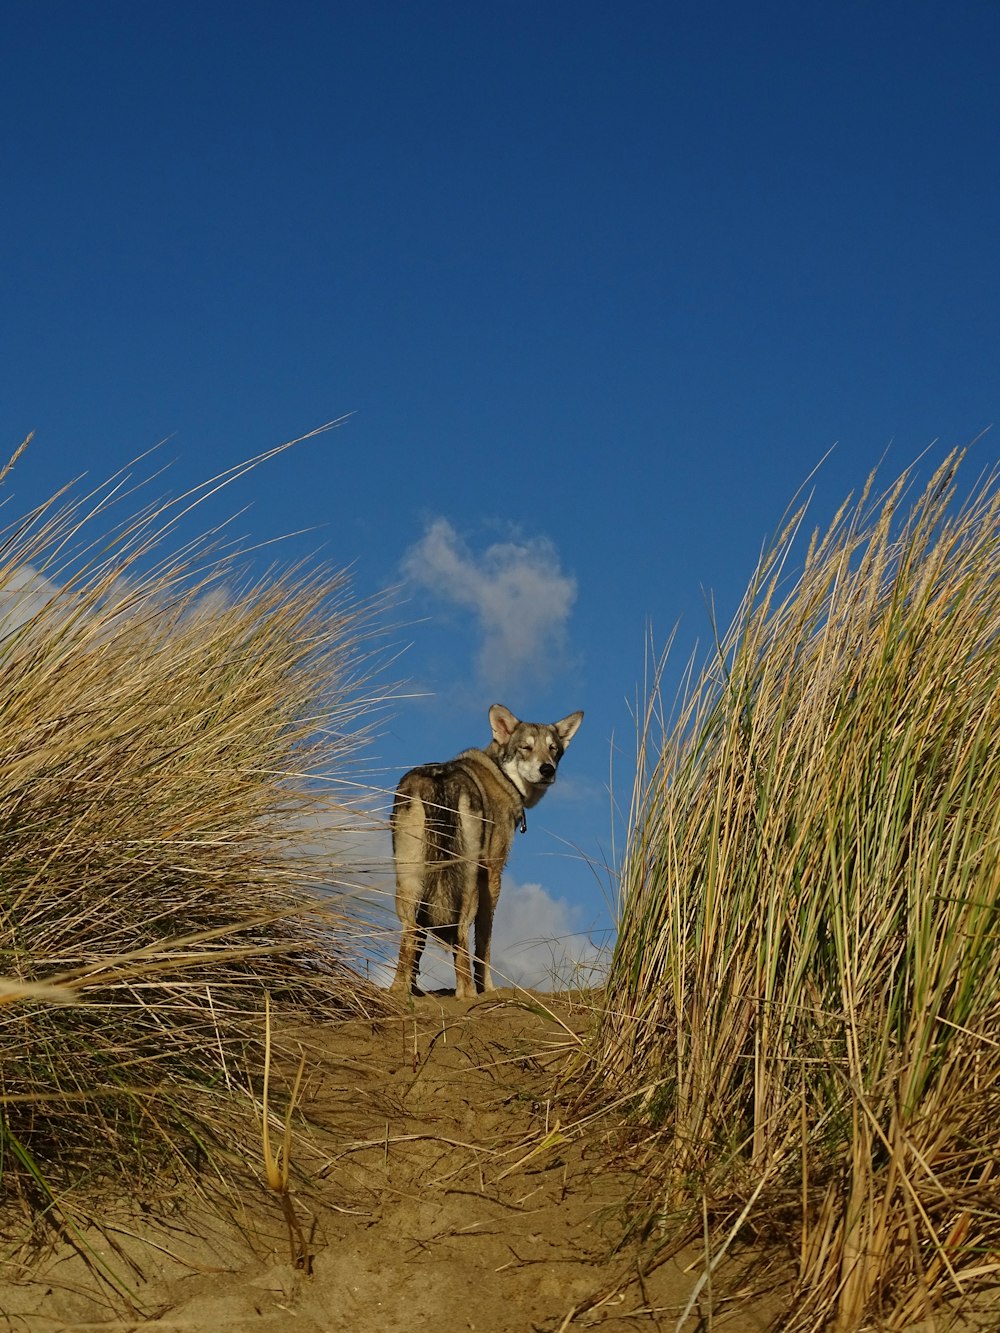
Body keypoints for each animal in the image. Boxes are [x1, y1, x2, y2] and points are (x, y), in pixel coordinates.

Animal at [386, 709, 584, 1002]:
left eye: (553, 749)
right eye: (526, 748)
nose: (547, 770)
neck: (502, 775)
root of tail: (440, 781)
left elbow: (421, 945)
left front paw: (414, 989)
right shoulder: (492, 876)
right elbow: (484, 944)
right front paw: (488, 989)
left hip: (408, 883)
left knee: (411, 935)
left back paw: (401, 992)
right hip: (468, 886)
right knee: (460, 937)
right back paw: (468, 995)